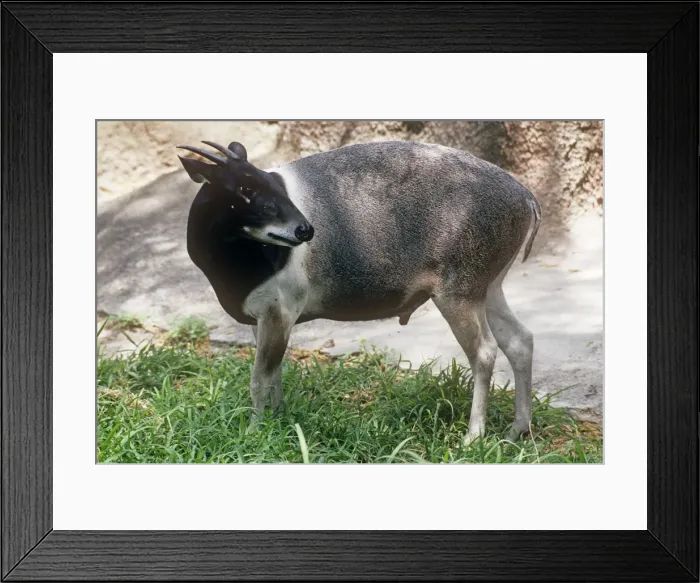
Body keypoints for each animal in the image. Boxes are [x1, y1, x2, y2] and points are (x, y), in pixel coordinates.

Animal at [177, 139, 541, 443]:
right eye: (245, 187)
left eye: (273, 184)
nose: (305, 230)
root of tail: (525, 196)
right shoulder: (262, 319)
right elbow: (275, 374)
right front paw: (276, 420)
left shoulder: (279, 313)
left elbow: (259, 378)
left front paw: (254, 430)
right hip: (489, 289)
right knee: (519, 340)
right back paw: (517, 429)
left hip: (458, 296)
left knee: (485, 353)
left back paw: (473, 437)